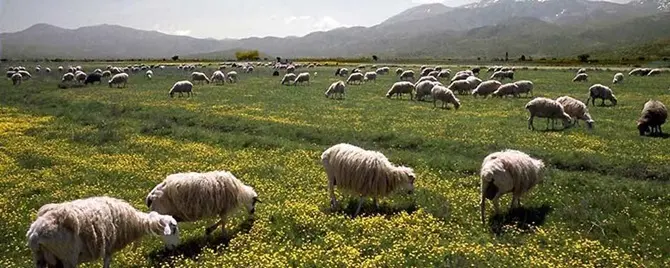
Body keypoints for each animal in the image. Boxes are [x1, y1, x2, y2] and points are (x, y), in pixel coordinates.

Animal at [26, 195, 181, 268]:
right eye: (174, 229)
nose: (175, 247)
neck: (135, 222)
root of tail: (35, 234)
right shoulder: (109, 247)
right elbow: (106, 264)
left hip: (40, 258)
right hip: (68, 257)